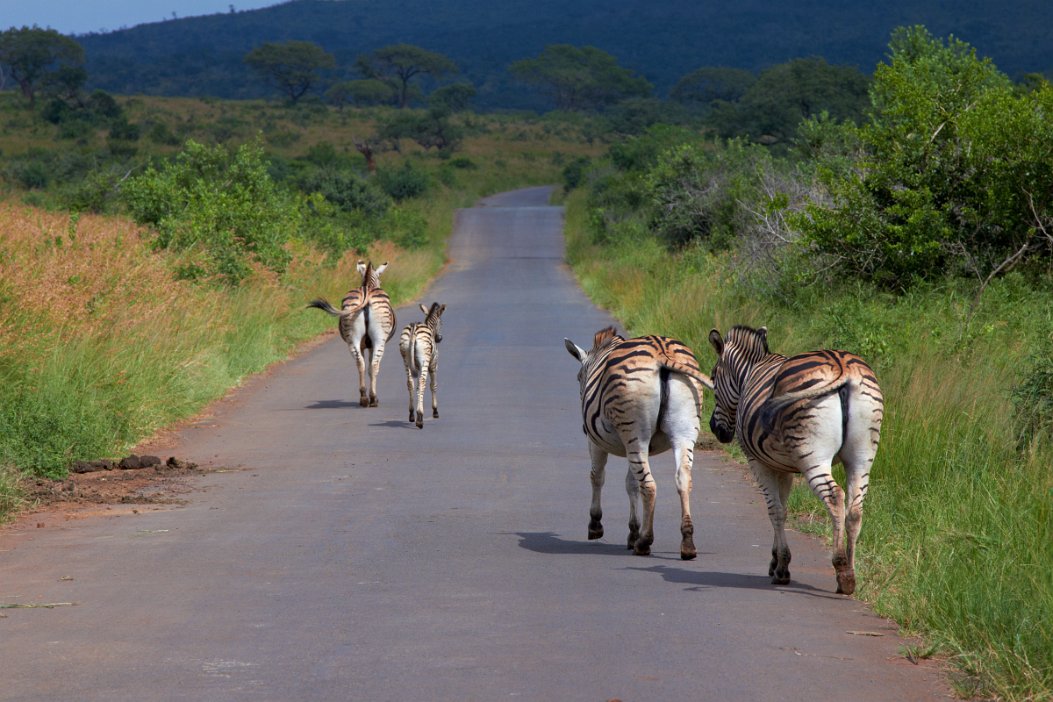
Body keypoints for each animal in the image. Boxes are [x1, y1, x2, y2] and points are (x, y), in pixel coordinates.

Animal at [309, 261, 400, 408]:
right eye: (380, 280)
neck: (369, 284)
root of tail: (366, 293)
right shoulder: (371, 345)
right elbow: (370, 367)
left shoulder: (363, 345)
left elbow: (365, 365)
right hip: (379, 339)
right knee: (374, 365)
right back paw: (373, 399)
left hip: (352, 337)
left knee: (360, 363)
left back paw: (363, 398)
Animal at [564, 326, 711, 564]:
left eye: (578, 378)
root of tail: (662, 352)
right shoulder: (636, 446)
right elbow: (631, 483)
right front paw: (633, 531)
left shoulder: (595, 441)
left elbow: (597, 476)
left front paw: (596, 525)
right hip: (684, 429)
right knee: (683, 479)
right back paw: (687, 543)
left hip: (635, 432)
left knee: (649, 486)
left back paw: (645, 542)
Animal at [703, 326, 884, 597]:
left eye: (714, 377)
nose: (716, 430)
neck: (750, 371)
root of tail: (842, 366)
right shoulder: (782, 466)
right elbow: (784, 508)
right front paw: (775, 561)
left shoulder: (758, 462)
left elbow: (775, 510)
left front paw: (781, 569)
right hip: (863, 455)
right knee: (855, 508)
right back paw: (851, 574)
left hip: (813, 454)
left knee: (835, 497)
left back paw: (841, 569)